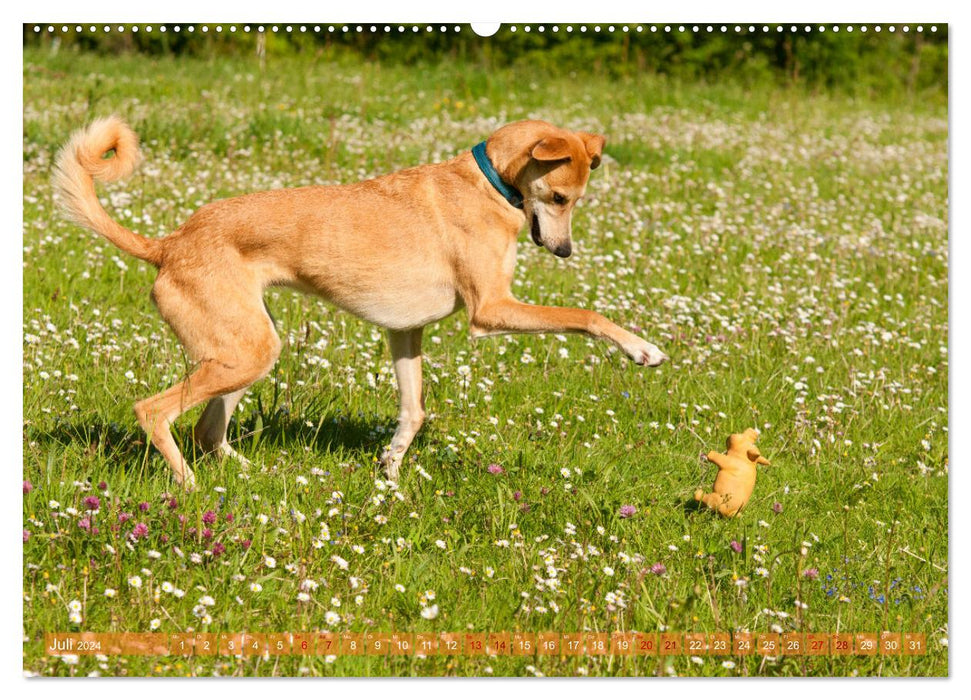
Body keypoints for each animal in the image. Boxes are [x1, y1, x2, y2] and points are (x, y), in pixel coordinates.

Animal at [55, 116, 668, 486]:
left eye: (577, 200)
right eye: (560, 197)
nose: (564, 251)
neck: (490, 183)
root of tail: (168, 244)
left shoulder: (405, 331)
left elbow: (413, 411)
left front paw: (391, 473)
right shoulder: (491, 311)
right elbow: (586, 314)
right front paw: (640, 348)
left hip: (245, 350)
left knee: (208, 432)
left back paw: (257, 475)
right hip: (244, 355)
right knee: (152, 412)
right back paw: (189, 486)